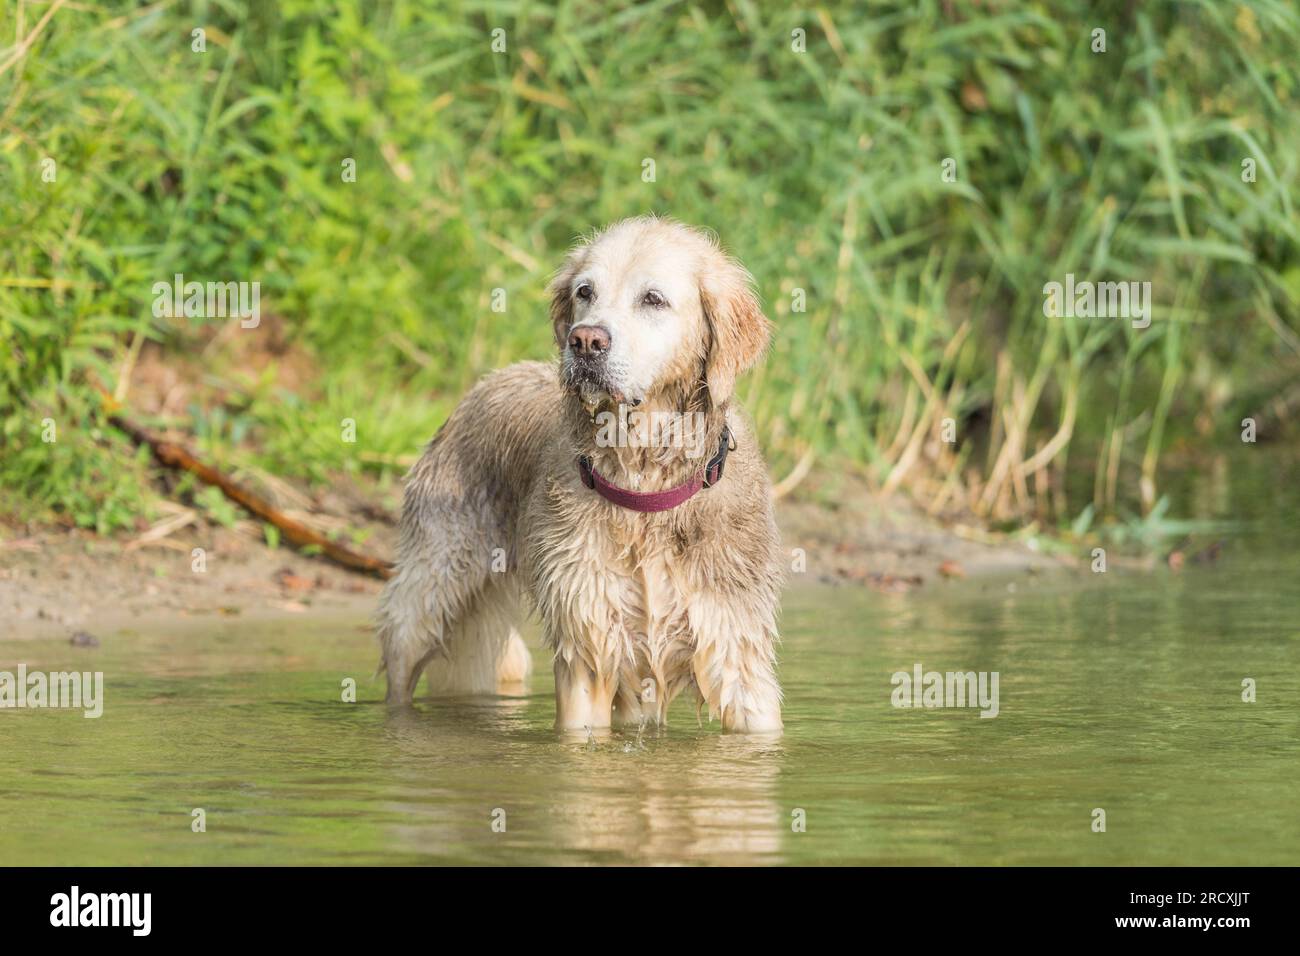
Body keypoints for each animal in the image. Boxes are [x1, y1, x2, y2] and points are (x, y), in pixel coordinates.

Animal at [377, 217, 780, 733]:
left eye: (653, 299)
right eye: (585, 291)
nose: (585, 341)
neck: (645, 489)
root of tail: (486, 382)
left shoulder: (735, 648)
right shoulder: (587, 641)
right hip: (431, 585)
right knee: (403, 659)